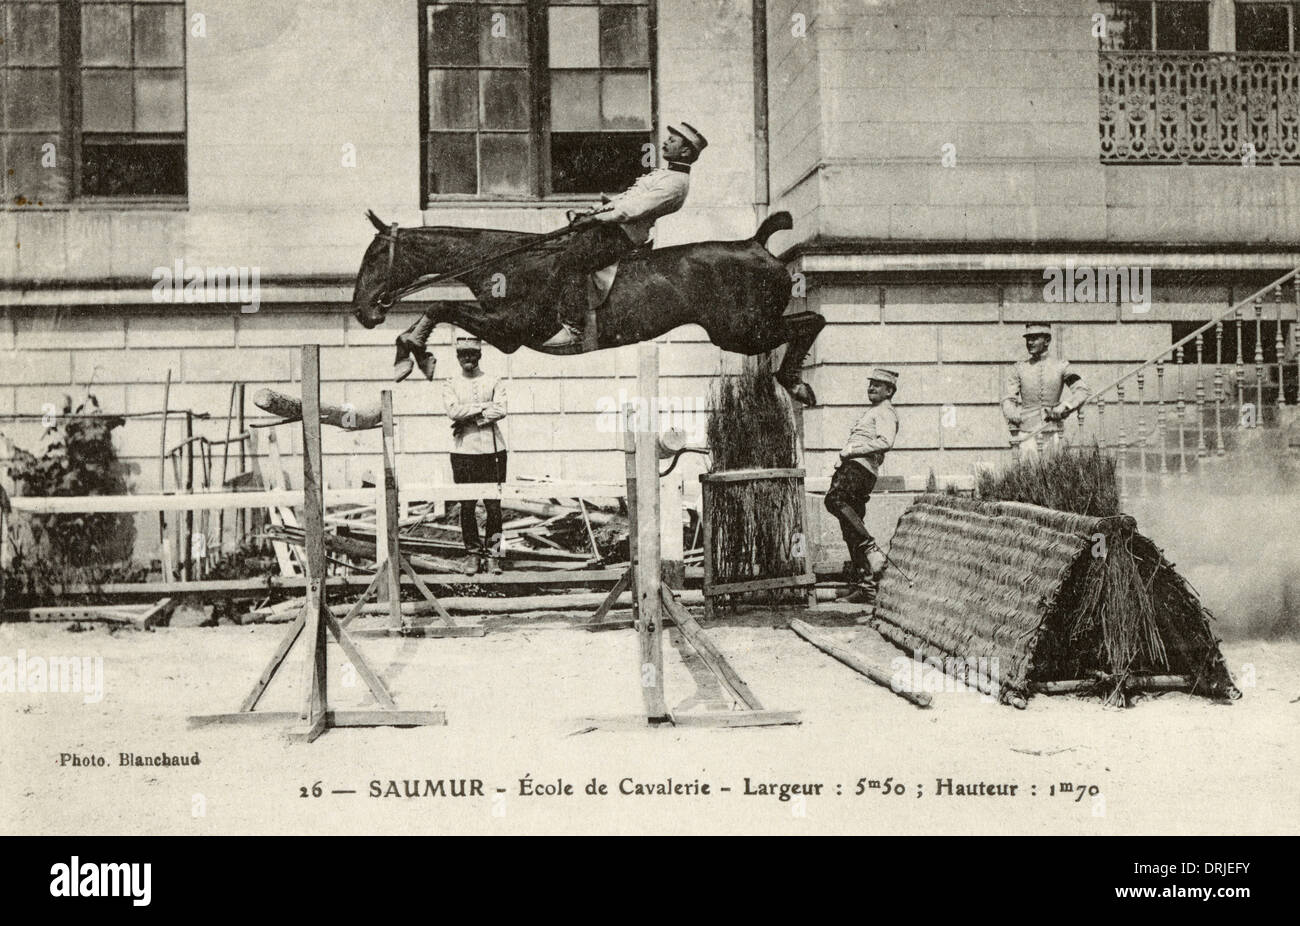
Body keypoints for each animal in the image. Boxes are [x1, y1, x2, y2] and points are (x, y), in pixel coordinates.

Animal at [351, 209, 826, 405]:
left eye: (373, 257)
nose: (362, 312)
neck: (505, 260)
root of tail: (755, 243)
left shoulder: (512, 330)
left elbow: (441, 307)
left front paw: (413, 352)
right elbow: (441, 309)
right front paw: (410, 352)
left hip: (742, 332)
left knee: (813, 319)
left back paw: (795, 383)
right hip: (746, 331)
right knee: (809, 321)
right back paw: (797, 384)